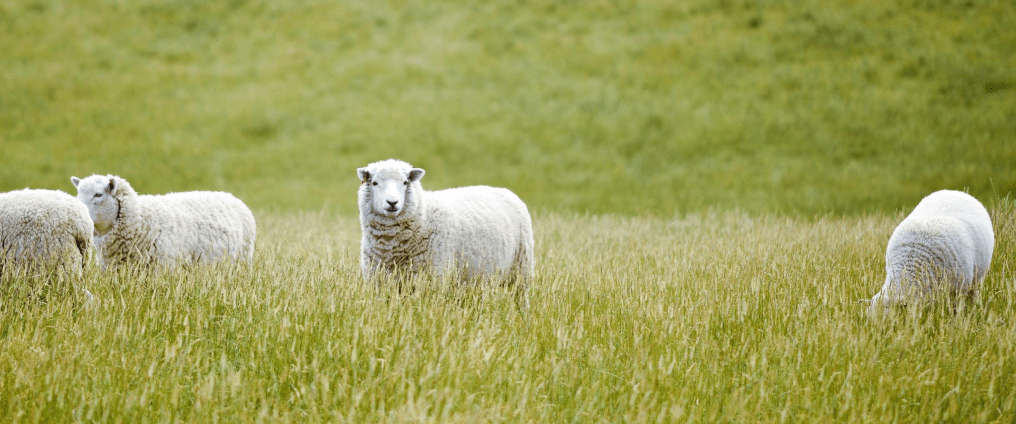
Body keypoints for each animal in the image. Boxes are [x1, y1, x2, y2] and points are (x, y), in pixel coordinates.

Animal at [357, 159, 534, 305]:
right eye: (374, 183)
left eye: (405, 182)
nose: (392, 203)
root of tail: (506, 191)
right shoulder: (379, 282)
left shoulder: (433, 281)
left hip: (521, 269)